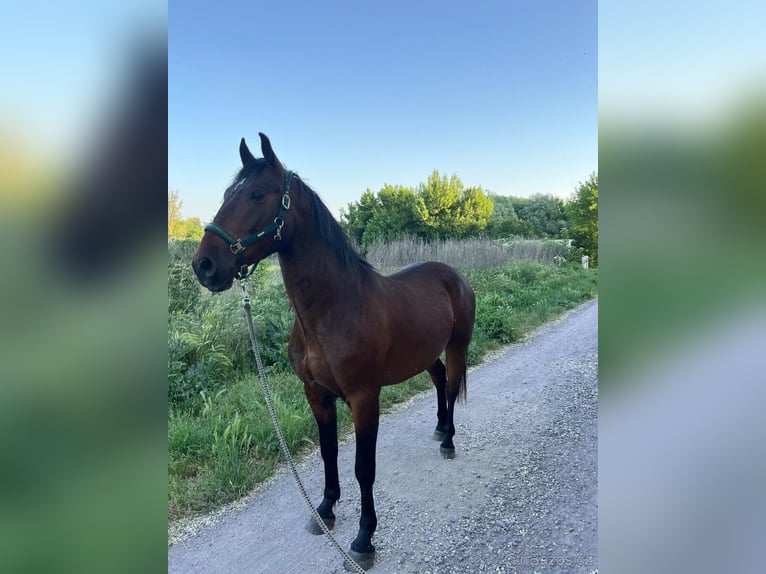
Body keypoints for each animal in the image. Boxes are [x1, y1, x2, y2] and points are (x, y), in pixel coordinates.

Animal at [192, 133, 476, 568]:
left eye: (257, 193)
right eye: (227, 194)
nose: (204, 265)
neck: (333, 309)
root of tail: (454, 275)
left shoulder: (364, 398)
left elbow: (364, 468)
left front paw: (364, 539)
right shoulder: (316, 395)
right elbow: (328, 454)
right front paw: (325, 510)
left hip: (457, 346)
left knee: (454, 380)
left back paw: (449, 441)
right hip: (426, 354)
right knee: (442, 379)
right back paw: (440, 428)